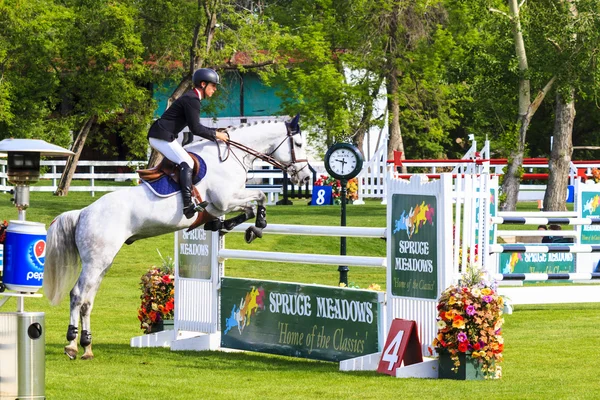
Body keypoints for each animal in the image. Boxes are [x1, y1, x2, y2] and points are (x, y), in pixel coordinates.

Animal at [44, 114, 312, 360]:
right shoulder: (225, 200)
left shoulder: (225, 203)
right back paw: (71, 345)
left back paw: (87, 346)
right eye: (298, 144)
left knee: (88, 300)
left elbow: (249, 207)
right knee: (77, 295)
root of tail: (83, 212)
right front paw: (258, 225)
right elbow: (260, 197)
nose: (305, 177)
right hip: (96, 261)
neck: (230, 158)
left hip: (103, 262)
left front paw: (228, 226)